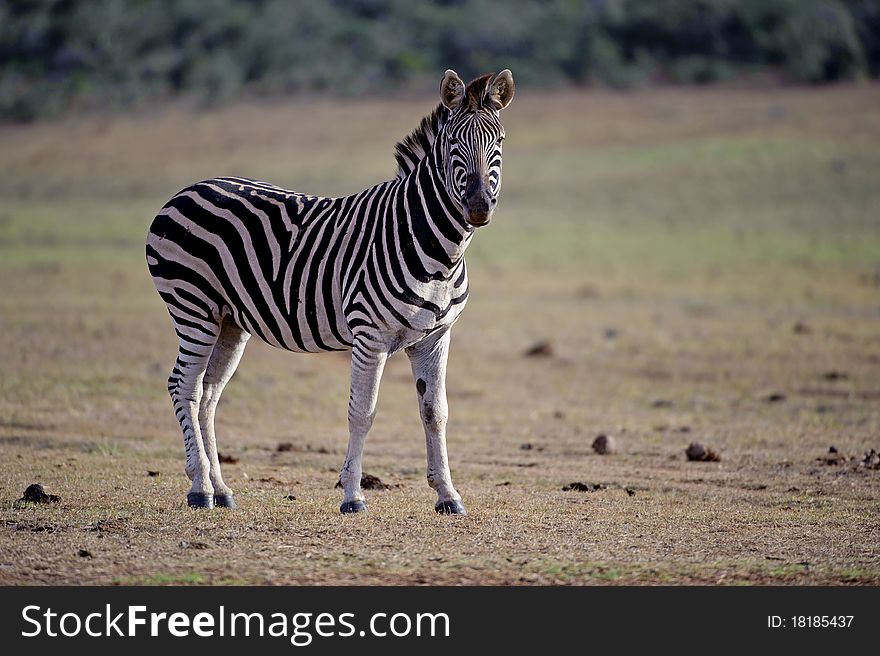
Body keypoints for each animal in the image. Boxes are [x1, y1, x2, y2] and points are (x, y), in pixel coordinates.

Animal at [147, 70, 512, 512]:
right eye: (452, 143)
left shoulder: (435, 338)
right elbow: (363, 413)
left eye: (499, 141)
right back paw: (200, 487)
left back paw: (221, 488)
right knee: (184, 386)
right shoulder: (370, 336)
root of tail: (185, 190)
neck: (435, 248)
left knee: (208, 392)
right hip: (192, 307)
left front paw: (447, 494)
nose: (478, 207)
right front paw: (353, 496)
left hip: (228, 321)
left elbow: (435, 412)